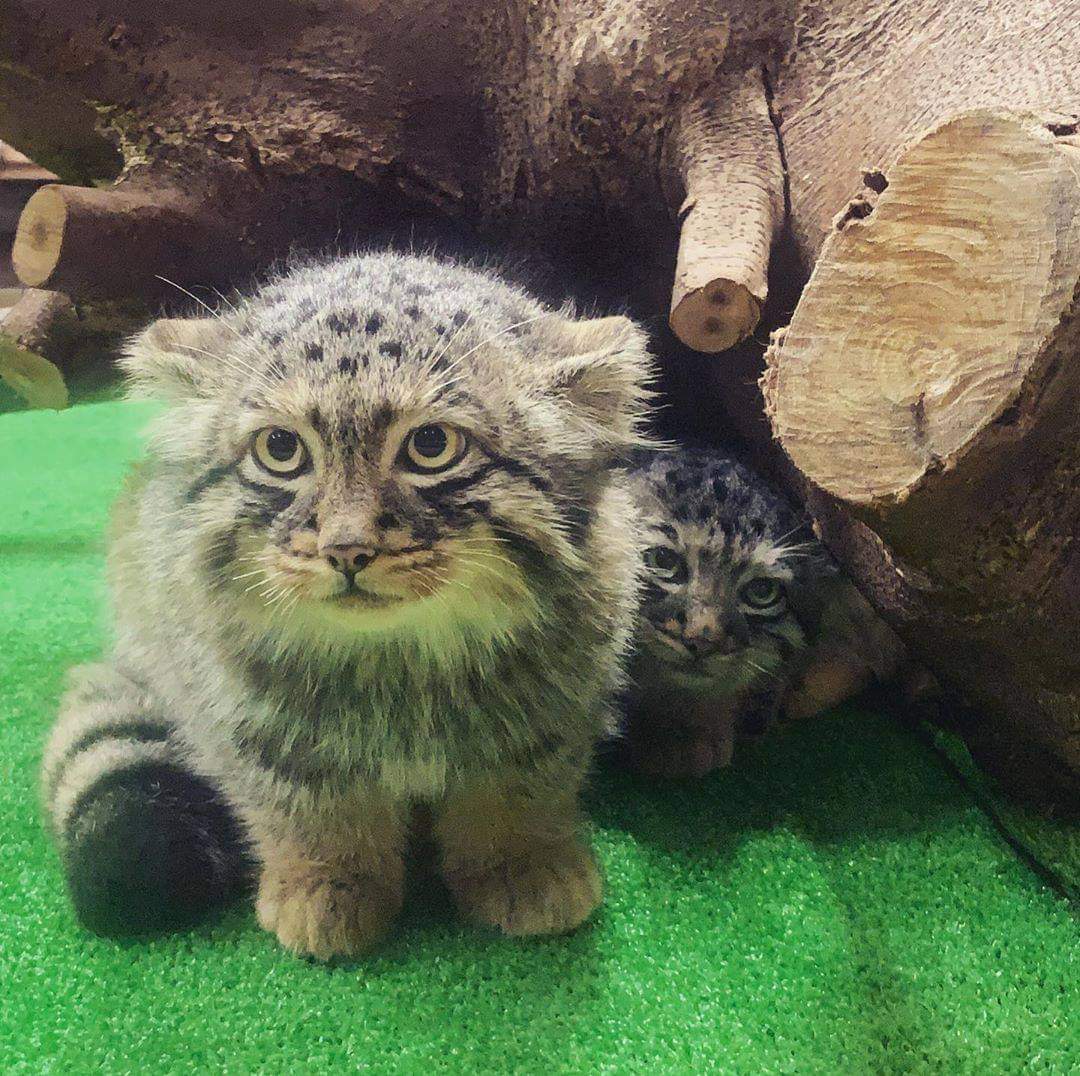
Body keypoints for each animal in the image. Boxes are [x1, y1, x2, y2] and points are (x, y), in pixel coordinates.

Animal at [42, 251, 652, 959]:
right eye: (281, 449)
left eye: (431, 445)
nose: (346, 548)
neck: (402, 668)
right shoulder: (253, 725)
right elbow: (312, 811)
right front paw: (329, 883)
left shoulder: (554, 711)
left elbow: (518, 794)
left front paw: (521, 864)